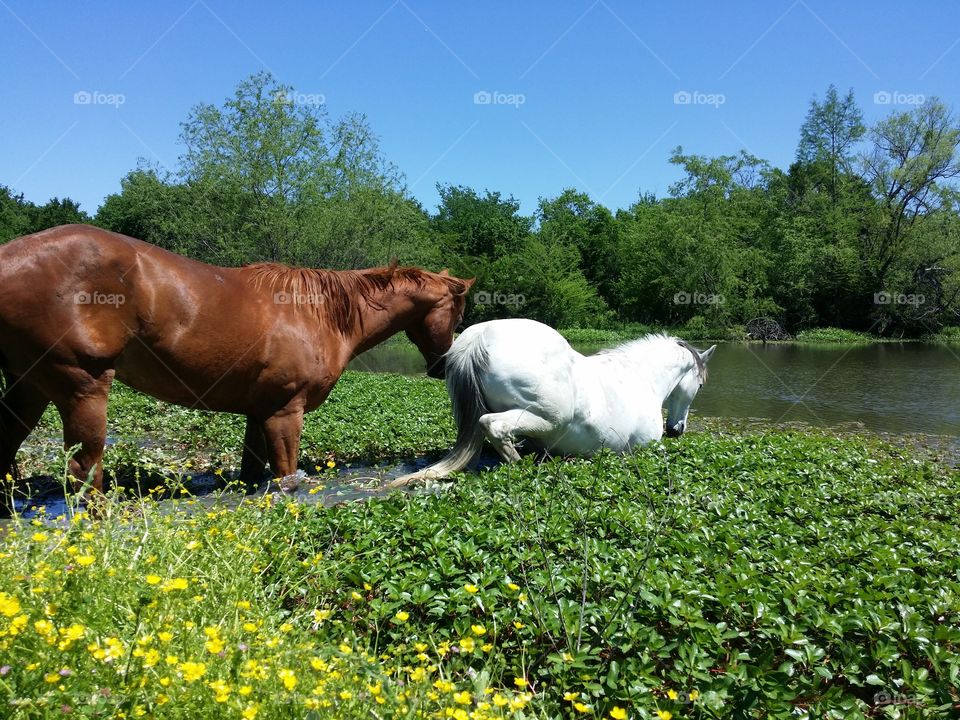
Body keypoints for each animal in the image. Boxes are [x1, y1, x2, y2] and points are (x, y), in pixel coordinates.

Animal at [0, 224, 472, 500]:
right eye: (457, 311)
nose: (439, 366)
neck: (318, 313)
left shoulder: (257, 413)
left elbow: (252, 473)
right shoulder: (285, 413)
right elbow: (287, 478)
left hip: (29, 388)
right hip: (82, 387)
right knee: (84, 473)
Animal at [390, 320, 712, 484]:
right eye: (699, 385)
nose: (676, 429)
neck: (639, 377)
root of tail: (479, 336)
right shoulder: (645, 447)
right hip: (548, 418)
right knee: (493, 426)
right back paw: (523, 465)